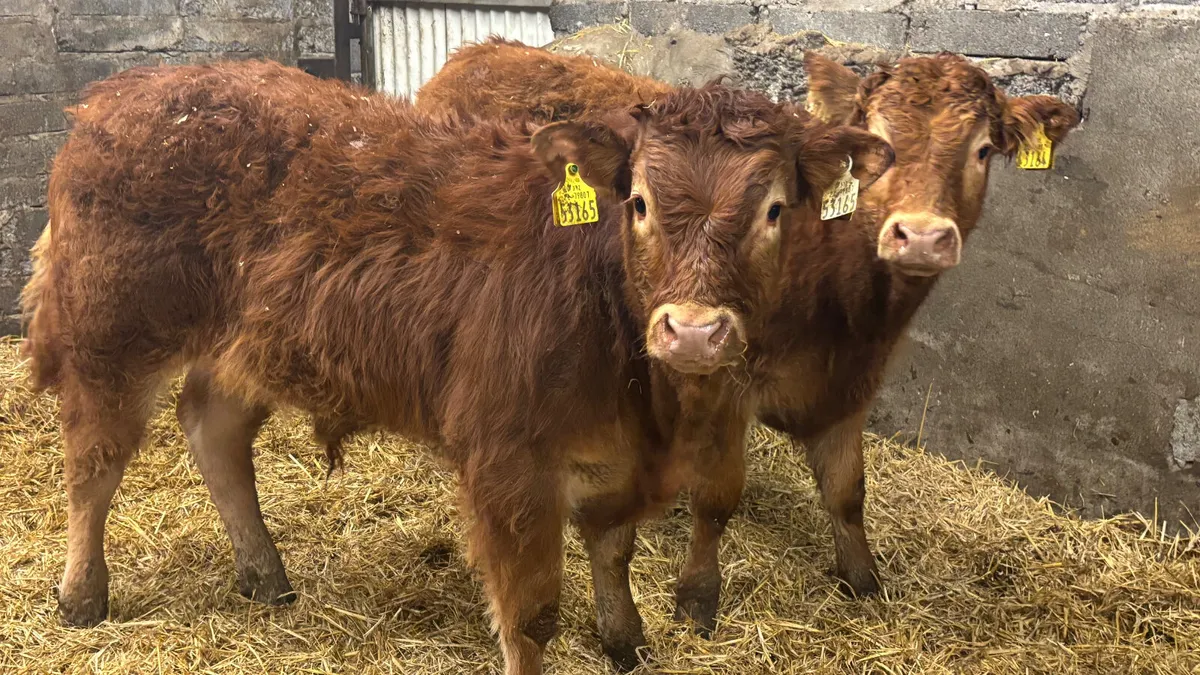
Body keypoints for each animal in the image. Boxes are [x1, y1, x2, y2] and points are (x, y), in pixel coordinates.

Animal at [20, 59, 893, 674]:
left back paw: (265, 572)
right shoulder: (507, 460)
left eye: (774, 210)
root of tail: (123, 92)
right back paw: (81, 593)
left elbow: (613, 549)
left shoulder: (616, 454)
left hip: (246, 343)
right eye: (639, 201)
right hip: (108, 332)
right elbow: (532, 613)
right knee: (93, 463)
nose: (695, 331)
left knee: (213, 427)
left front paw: (626, 638)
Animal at [415, 40, 1080, 636]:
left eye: (984, 149)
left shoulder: (852, 383)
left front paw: (863, 579)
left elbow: (848, 491)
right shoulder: (727, 382)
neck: (844, 296)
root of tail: (478, 52)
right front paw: (696, 598)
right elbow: (718, 497)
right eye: (880, 143)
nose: (919, 236)